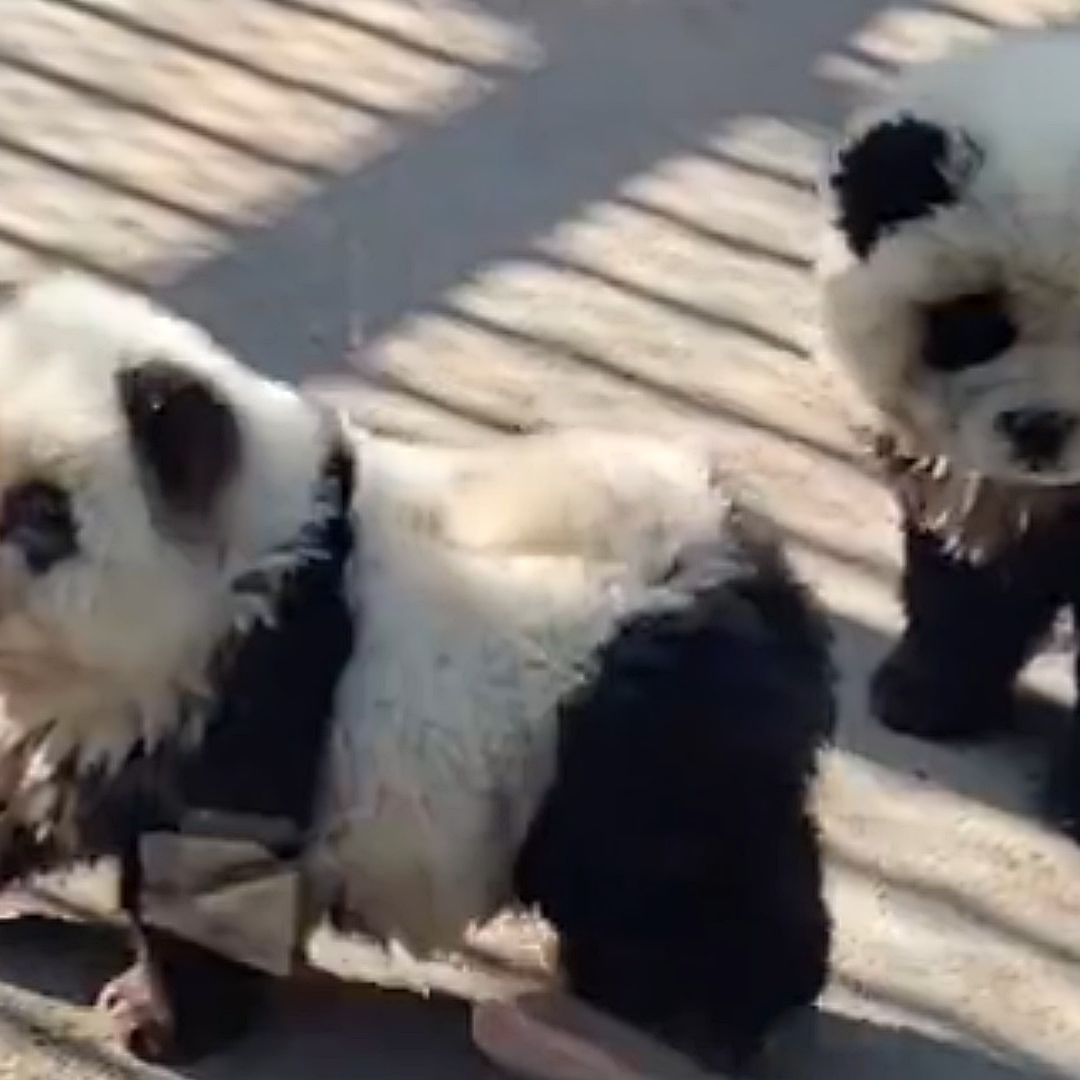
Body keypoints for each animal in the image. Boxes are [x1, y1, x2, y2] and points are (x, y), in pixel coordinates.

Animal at [0, 273, 834, 1069]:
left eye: (43, 511)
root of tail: (767, 580)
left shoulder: (246, 686)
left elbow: (210, 873)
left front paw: (158, 1020)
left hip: (627, 726)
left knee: (664, 876)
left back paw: (707, 1012)